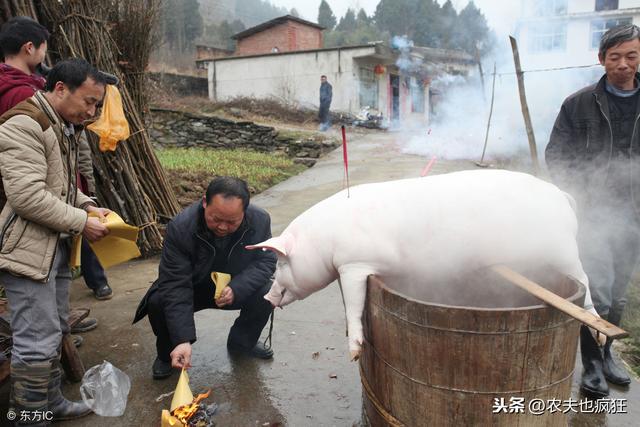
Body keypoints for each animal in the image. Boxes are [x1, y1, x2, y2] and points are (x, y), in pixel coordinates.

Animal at [248, 169, 596, 360]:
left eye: (280, 263)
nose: (266, 295)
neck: (323, 241)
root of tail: (561, 195)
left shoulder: (356, 263)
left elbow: (353, 305)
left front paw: (355, 353)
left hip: (564, 248)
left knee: (586, 280)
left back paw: (598, 327)